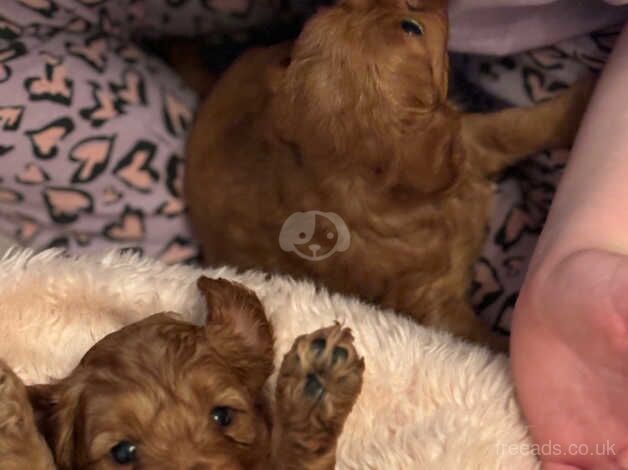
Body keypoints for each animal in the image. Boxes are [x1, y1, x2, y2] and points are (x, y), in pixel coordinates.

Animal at [183, 0, 592, 352]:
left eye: (344, 5)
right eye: (411, 27)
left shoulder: (470, 141)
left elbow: (516, 127)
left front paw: (579, 103)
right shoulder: (435, 306)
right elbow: (482, 344)